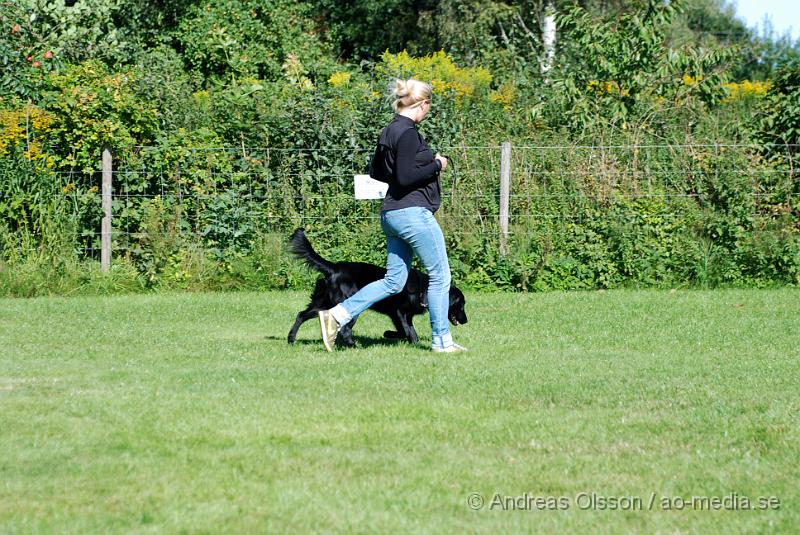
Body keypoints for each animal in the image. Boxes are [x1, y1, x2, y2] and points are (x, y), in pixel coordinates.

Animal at [286, 229, 468, 348]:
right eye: (461, 304)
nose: (466, 321)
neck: (423, 290)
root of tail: (334, 268)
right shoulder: (398, 312)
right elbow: (405, 330)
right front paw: (393, 336)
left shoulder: (403, 315)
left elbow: (408, 331)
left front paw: (411, 342)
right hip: (348, 303)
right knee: (344, 328)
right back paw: (352, 344)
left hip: (324, 302)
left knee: (301, 315)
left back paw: (291, 339)